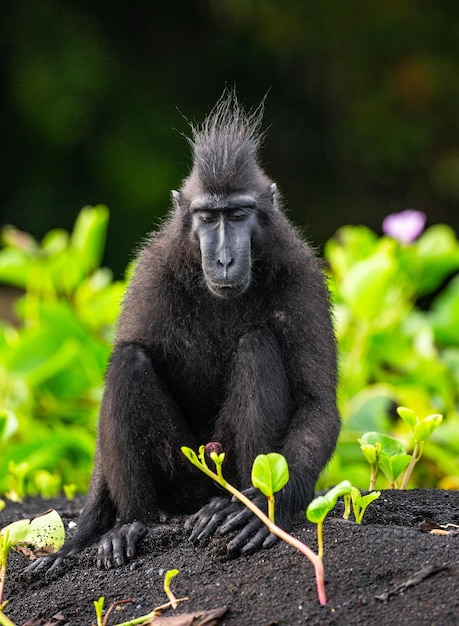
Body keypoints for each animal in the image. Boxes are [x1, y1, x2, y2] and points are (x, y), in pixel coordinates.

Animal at [29, 94, 342, 572]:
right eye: (208, 217)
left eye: (238, 215)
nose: (226, 260)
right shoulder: (150, 274)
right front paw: (74, 543)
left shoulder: (302, 278)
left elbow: (317, 404)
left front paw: (268, 509)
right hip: (183, 478)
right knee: (128, 360)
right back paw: (131, 524)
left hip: (220, 463)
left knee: (256, 344)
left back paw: (233, 507)